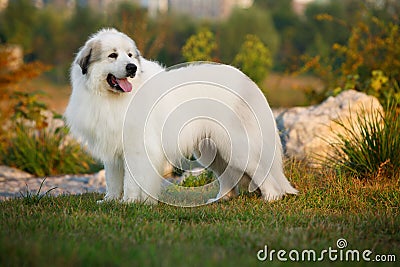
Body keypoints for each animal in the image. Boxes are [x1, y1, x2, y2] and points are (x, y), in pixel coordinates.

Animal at [65, 29, 296, 204]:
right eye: (112, 55)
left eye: (130, 55)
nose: (132, 68)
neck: (112, 98)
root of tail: (250, 83)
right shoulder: (113, 151)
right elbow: (113, 180)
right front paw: (111, 201)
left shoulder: (136, 148)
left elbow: (132, 181)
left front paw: (130, 202)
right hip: (211, 151)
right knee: (229, 178)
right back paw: (220, 199)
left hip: (237, 148)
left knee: (263, 172)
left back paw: (271, 198)